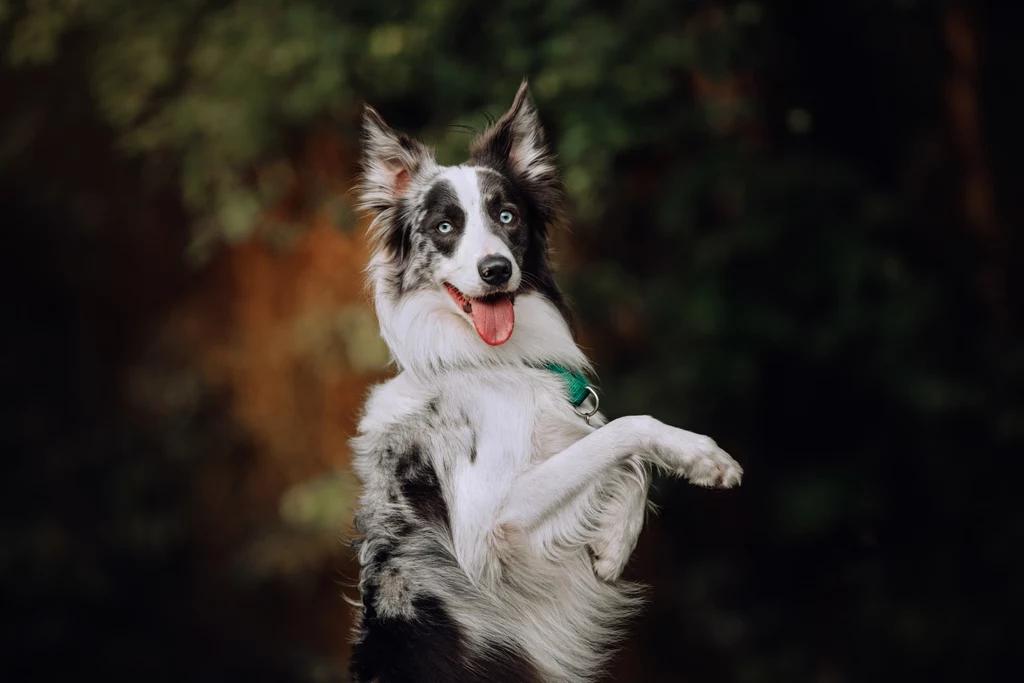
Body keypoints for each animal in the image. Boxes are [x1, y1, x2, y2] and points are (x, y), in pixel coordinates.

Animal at [348, 81, 741, 683]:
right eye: (444, 228)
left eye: (507, 216)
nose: (495, 270)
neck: (493, 362)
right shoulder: (491, 524)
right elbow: (624, 432)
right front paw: (701, 456)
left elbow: (621, 459)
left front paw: (613, 544)